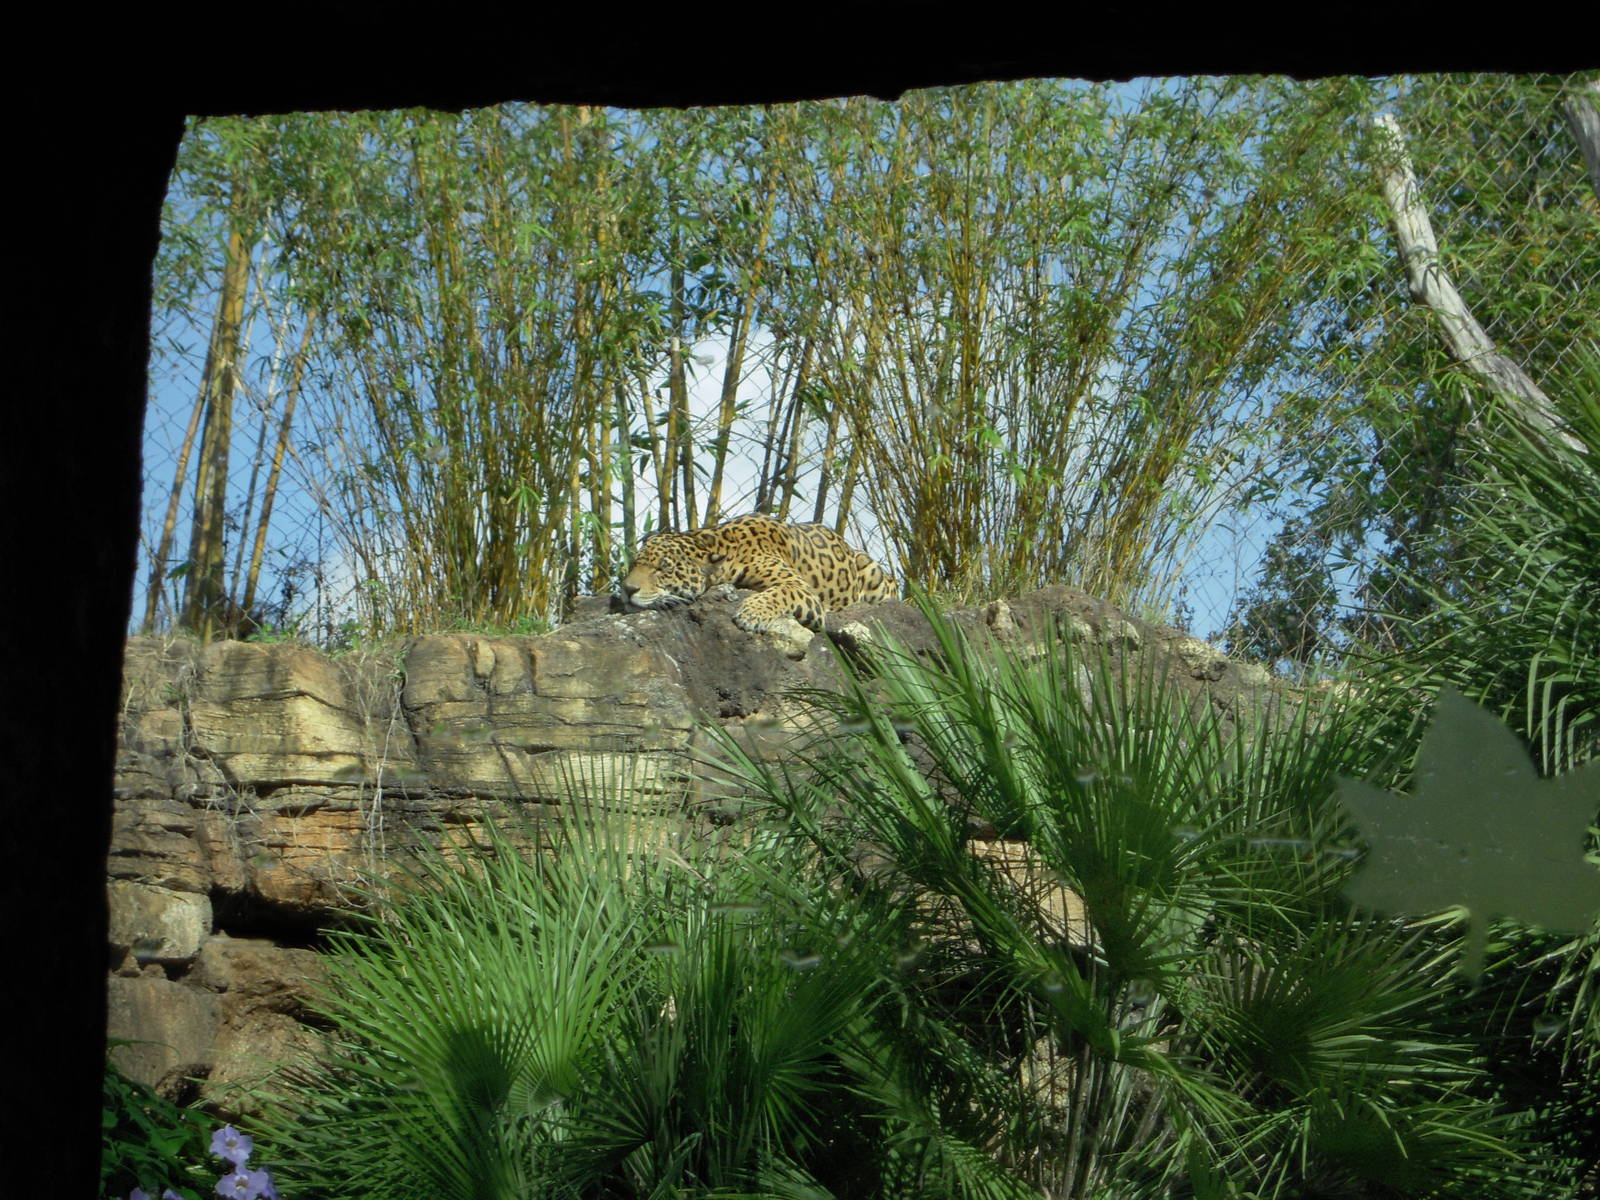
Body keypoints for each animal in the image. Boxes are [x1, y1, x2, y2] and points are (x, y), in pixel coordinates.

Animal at [620, 513, 896, 651]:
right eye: (634, 564)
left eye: (662, 569)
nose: (627, 589)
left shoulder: (801, 589)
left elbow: (780, 593)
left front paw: (751, 614)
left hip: (876, 575)